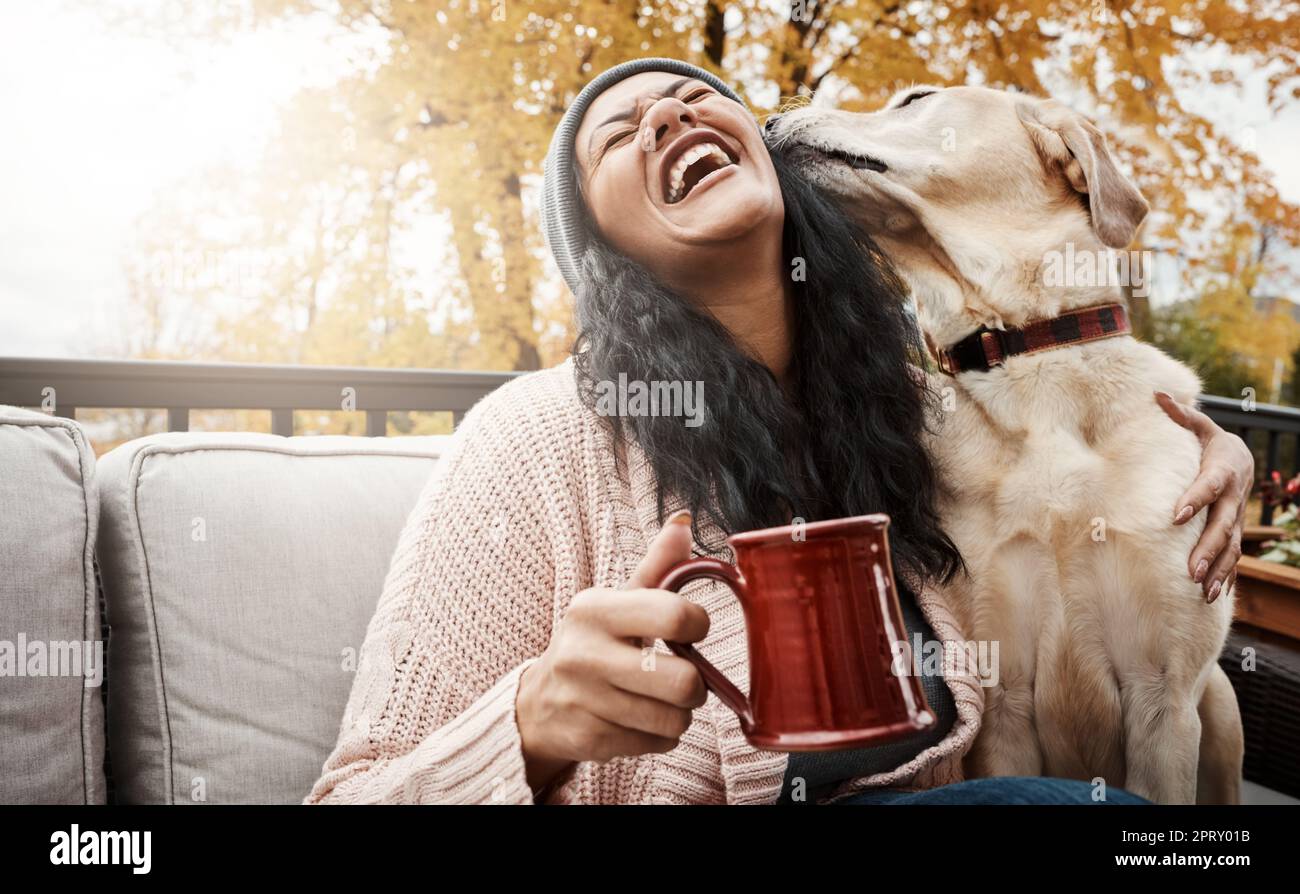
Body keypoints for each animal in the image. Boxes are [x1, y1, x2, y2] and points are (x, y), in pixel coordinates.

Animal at [764, 87, 1242, 805]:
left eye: (916, 99)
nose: (768, 119)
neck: (1030, 359)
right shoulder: (1001, 695)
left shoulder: (1165, 696)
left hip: (1219, 703)